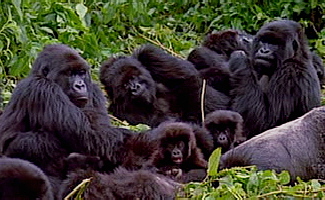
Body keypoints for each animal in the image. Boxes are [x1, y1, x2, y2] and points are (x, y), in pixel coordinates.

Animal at [0, 44, 130, 197]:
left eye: (81, 73)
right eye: (70, 73)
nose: (80, 85)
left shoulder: (94, 90)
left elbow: (99, 134)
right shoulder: (41, 88)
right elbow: (90, 136)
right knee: (37, 140)